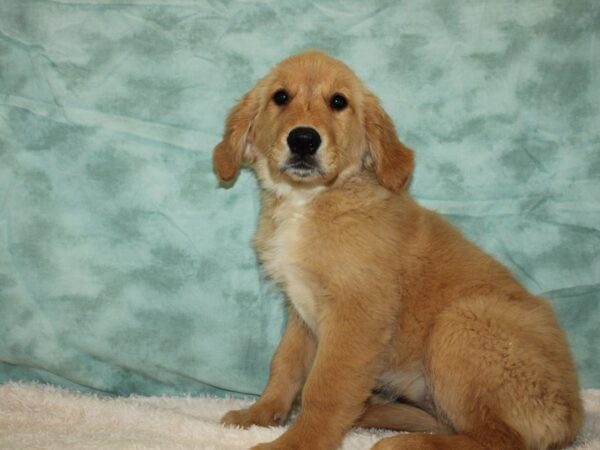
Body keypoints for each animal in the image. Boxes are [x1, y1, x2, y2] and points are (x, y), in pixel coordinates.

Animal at [212, 51, 580, 450]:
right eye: (280, 97)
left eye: (338, 102)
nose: (304, 140)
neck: (309, 201)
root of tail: (572, 420)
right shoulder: (301, 313)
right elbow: (285, 366)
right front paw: (260, 413)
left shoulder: (357, 315)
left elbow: (325, 387)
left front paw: (297, 441)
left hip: (460, 323)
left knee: (501, 438)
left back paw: (405, 442)